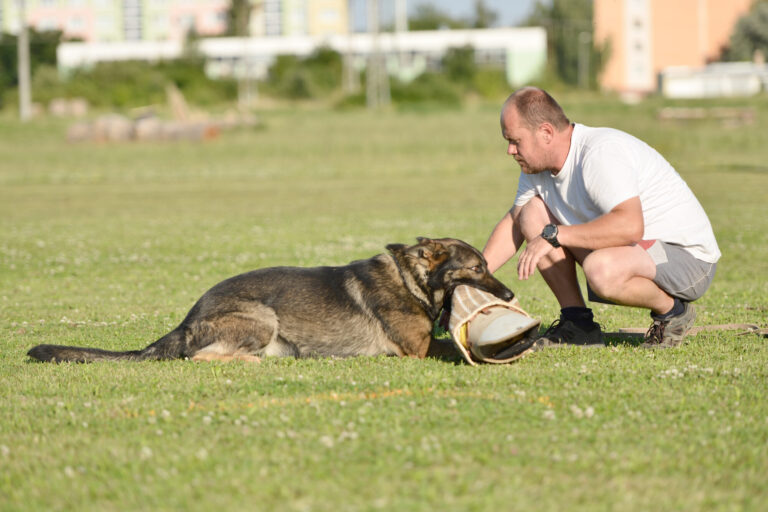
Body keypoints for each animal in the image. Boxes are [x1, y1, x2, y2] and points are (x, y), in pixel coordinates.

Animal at [27, 239, 512, 364]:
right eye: (477, 268)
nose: (510, 295)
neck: (412, 280)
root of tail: (188, 318)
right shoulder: (418, 350)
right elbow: (447, 344)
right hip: (262, 317)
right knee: (200, 357)